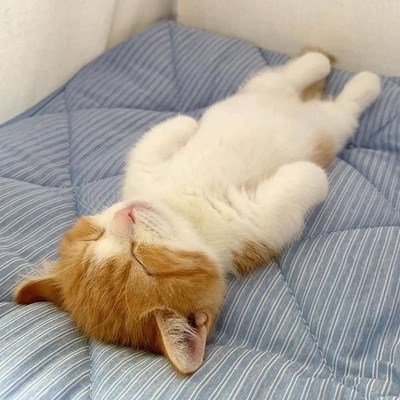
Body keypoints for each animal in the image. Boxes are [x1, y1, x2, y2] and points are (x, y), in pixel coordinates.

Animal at [14, 51, 381, 374]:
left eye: (94, 236)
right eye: (141, 262)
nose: (124, 216)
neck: (184, 213)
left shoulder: (143, 174)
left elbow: (153, 141)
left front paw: (188, 123)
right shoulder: (256, 231)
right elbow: (299, 187)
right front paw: (311, 174)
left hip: (264, 92)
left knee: (281, 79)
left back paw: (318, 62)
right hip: (331, 126)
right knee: (342, 110)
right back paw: (366, 83)